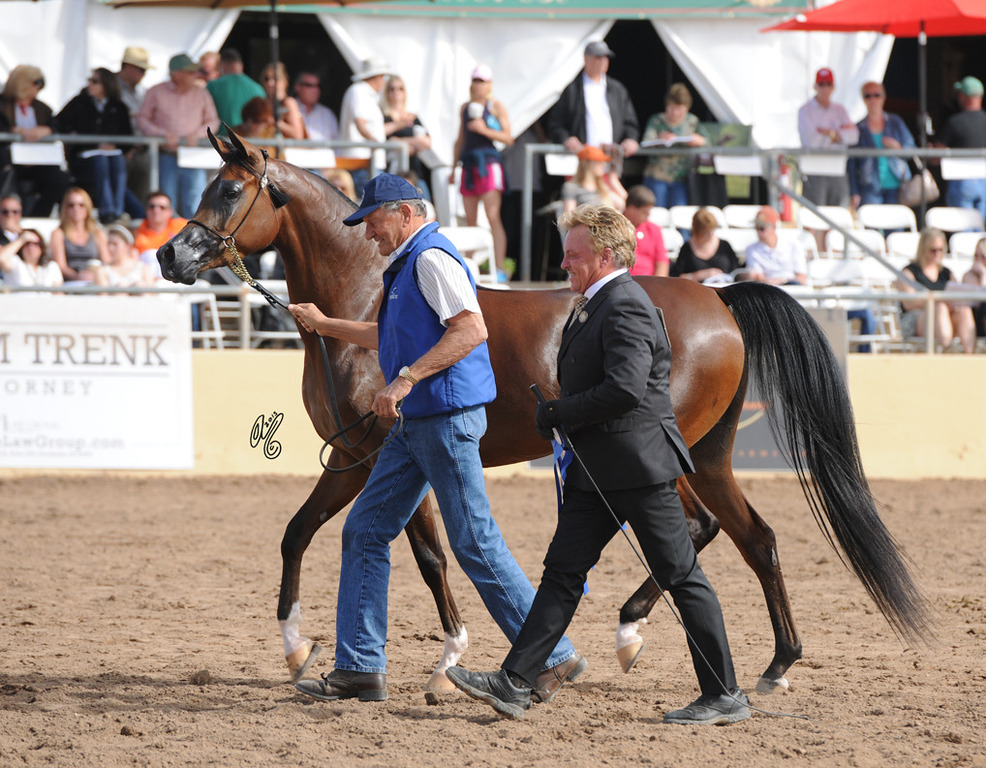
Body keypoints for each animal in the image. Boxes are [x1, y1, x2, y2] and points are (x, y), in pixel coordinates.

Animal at [157, 130, 931, 696]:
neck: (368, 299)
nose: (171, 254)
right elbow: (311, 535)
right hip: (708, 457)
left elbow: (422, 553)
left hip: (663, 454)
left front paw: (441, 657)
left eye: (230, 189)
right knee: (754, 538)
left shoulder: (383, 453)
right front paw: (306, 651)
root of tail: (721, 298)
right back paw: (771, 664)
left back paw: (632, 634)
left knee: (696, 530)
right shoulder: (357, 458)